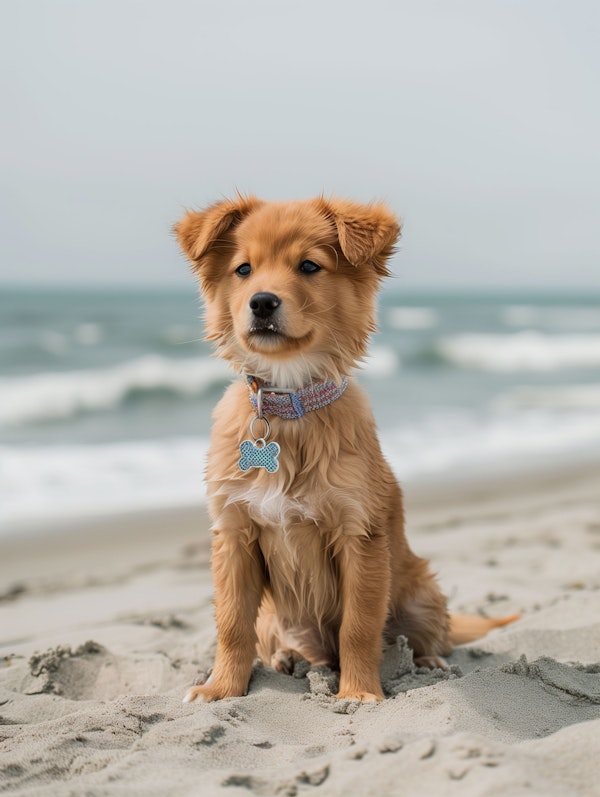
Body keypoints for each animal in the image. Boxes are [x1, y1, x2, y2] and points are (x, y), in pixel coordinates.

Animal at [173, 197, 516, 704]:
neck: (289, 405)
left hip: (421, 594)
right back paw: (287, 659)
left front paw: (357, 694)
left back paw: (427, 663)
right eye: (243, 269)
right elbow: (232, 623)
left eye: (309, 266)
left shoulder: (360, 536)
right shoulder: (235, 533)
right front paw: (220, 689)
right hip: (276, 618)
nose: (261, 302)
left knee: (428, 636)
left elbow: (359, 625)